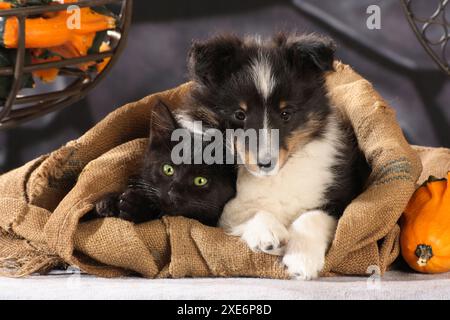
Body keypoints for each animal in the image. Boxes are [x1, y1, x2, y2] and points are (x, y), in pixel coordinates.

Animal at [186, 33, 370, 280]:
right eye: (240, 114)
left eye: (286, 113)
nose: (265, 163)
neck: (276, 177)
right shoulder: (216, 210)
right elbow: (247, 209)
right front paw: (268, 233)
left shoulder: (342, 198)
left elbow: (311, 216)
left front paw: (302, 261)